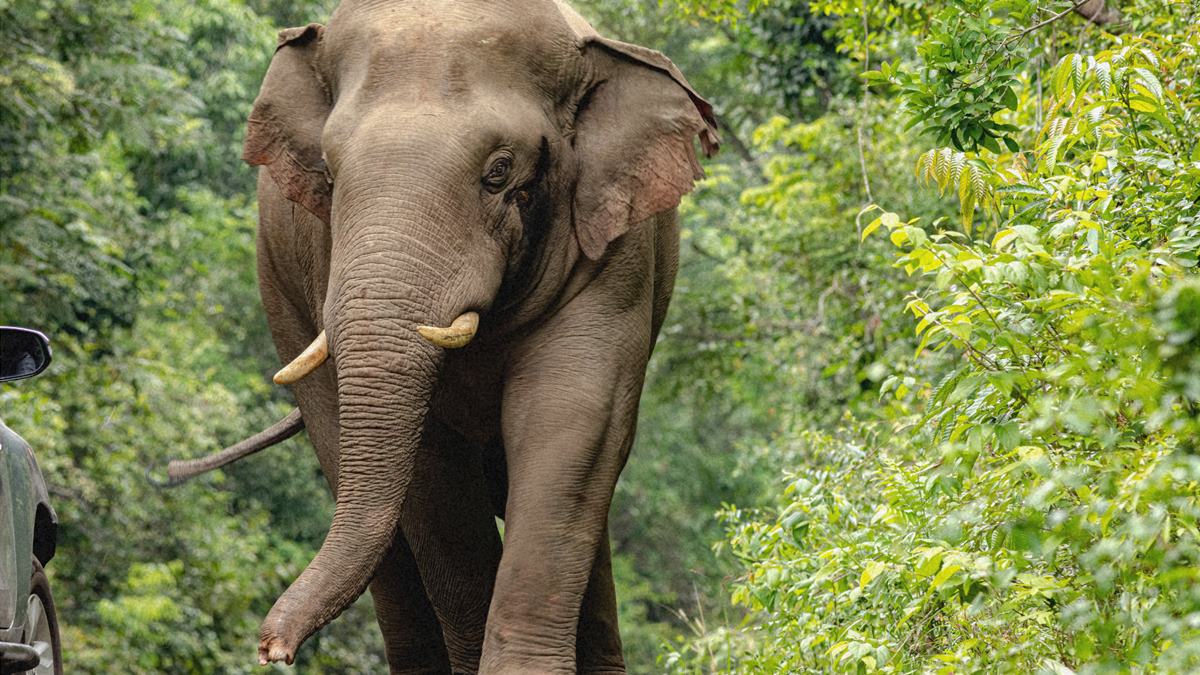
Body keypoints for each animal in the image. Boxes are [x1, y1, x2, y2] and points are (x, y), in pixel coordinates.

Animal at [166, 0, 718, 671]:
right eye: (329, 171)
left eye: (499, 171)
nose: (274, 648)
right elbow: (433, 471)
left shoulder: (616, 249)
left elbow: (572, 417)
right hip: (280, 291)